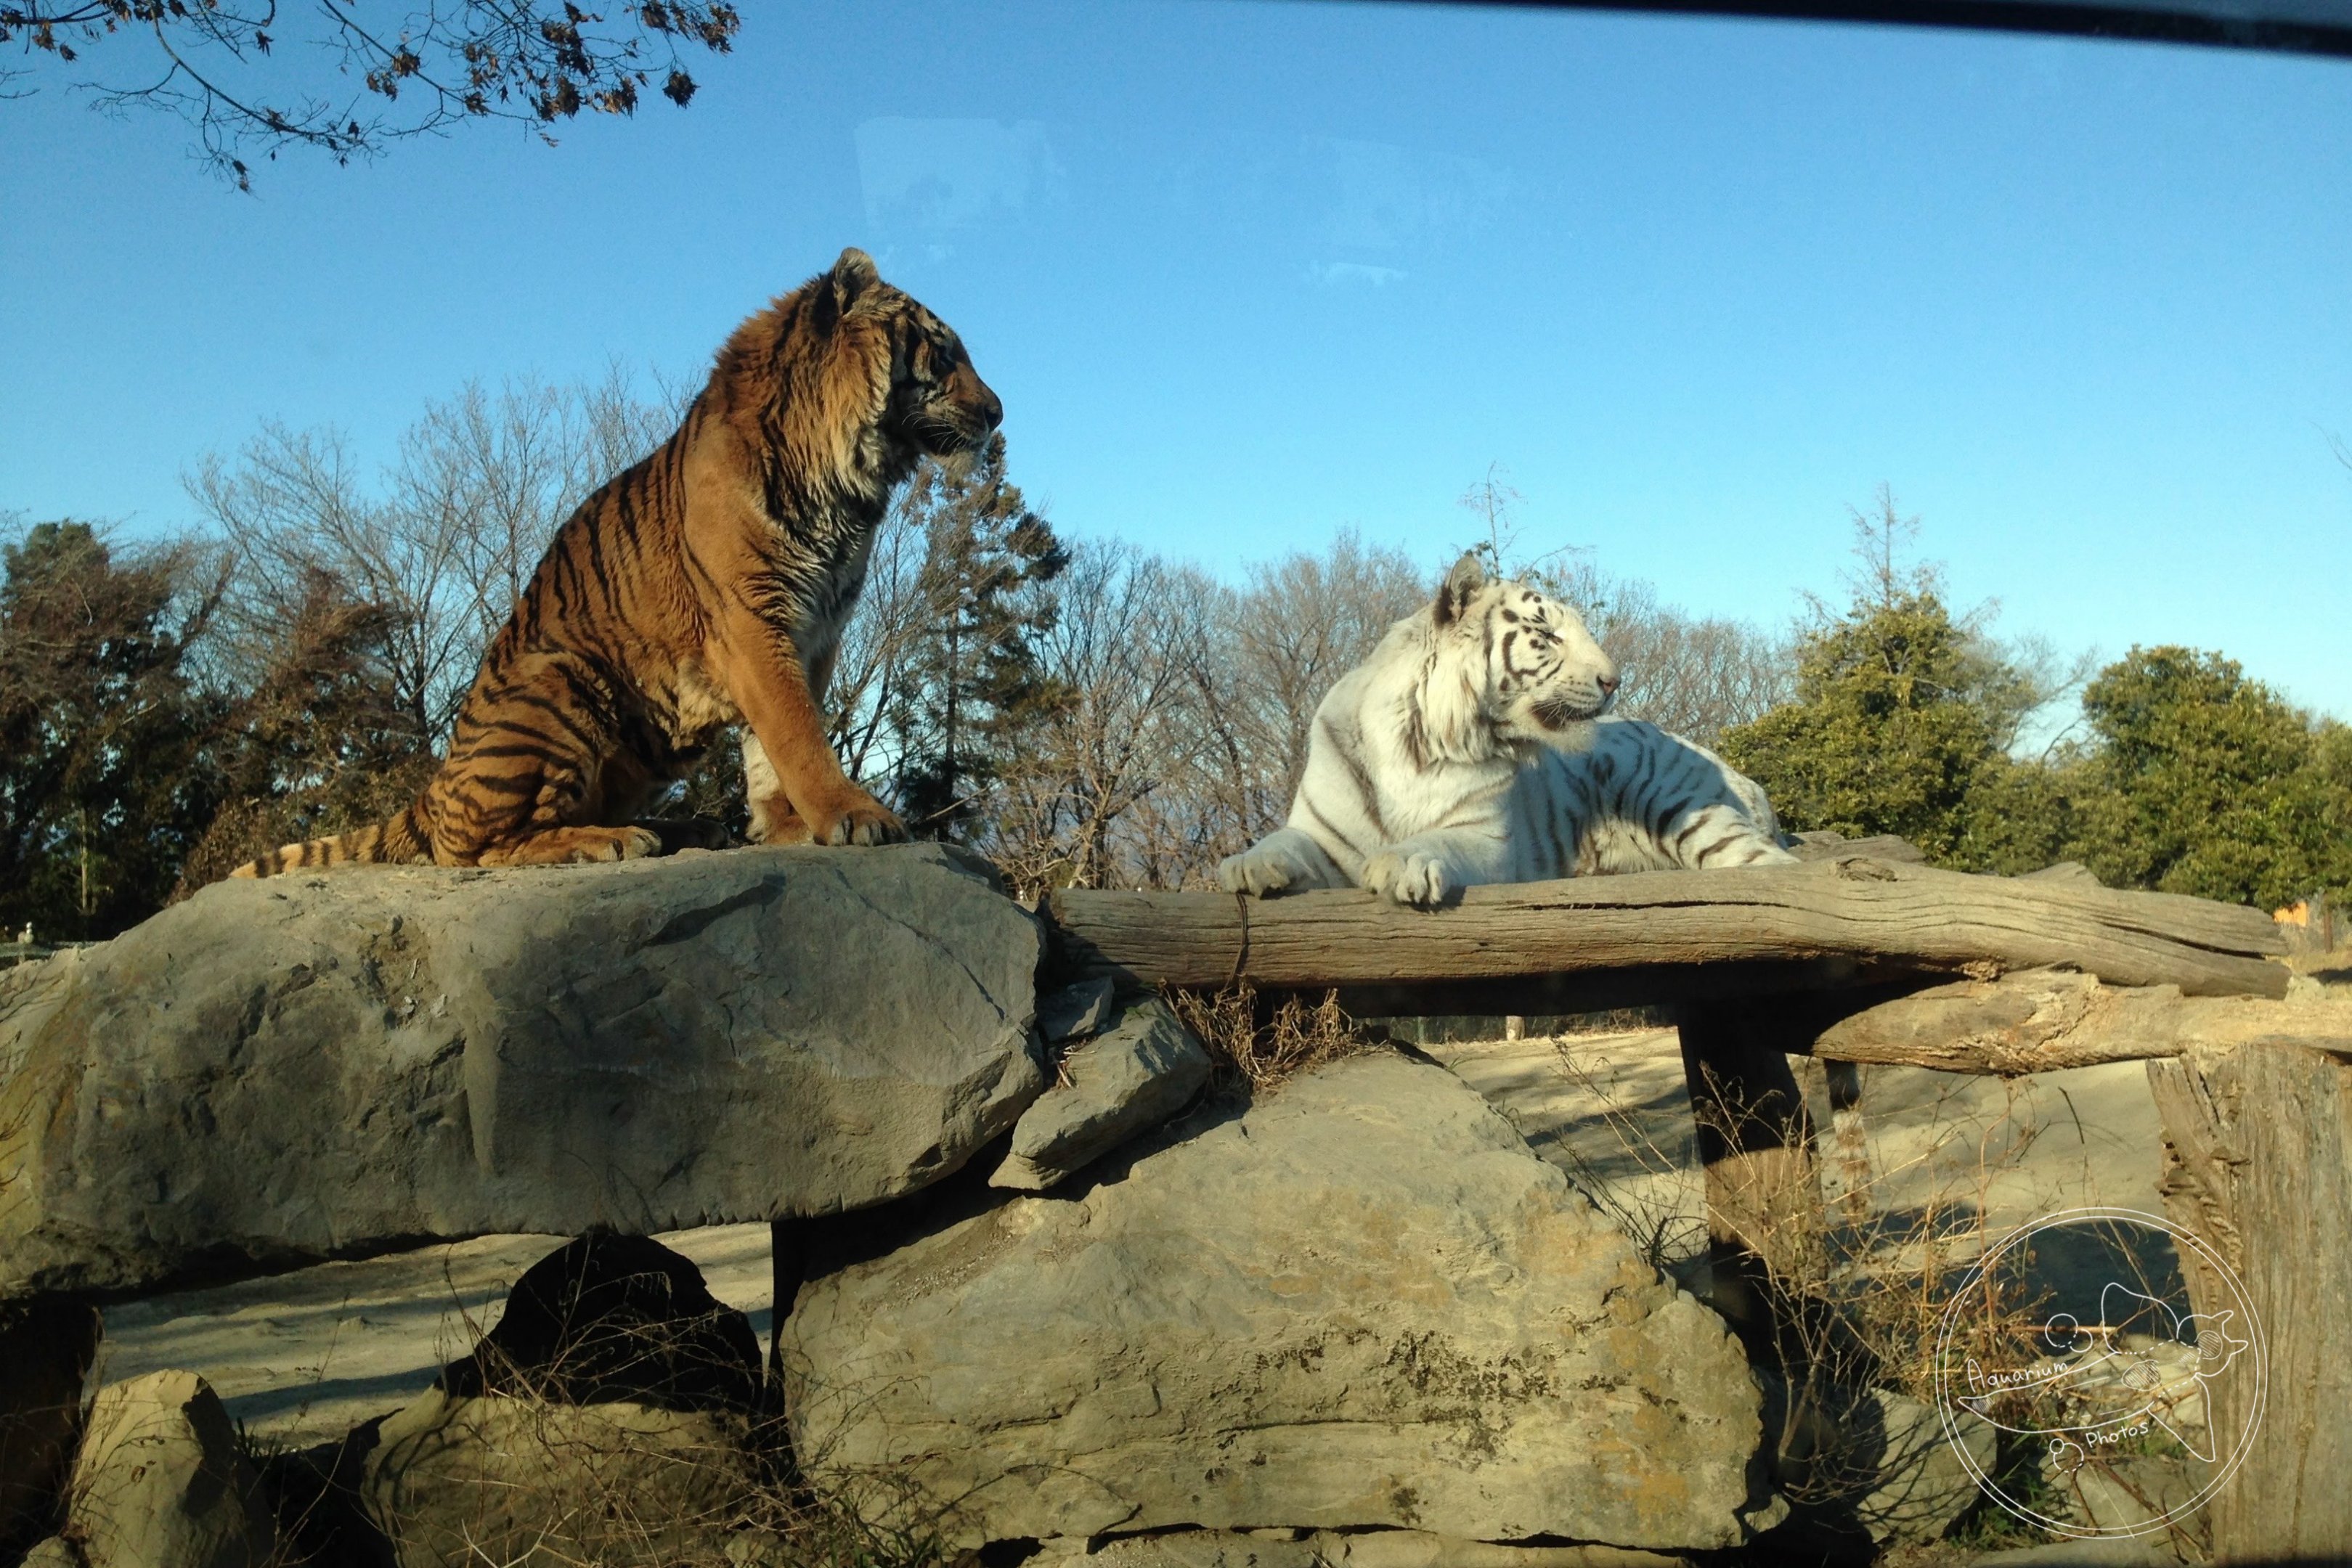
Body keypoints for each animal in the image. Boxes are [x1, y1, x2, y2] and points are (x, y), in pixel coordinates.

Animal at [232, 247, 999, 877]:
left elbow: (772, 746)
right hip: (560, 683)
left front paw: (785, 825)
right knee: (476, 849)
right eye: (943, 354)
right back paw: (610, 841)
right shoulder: (754, 620)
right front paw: (855, 815)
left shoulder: (816, 631)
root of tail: (432, 789)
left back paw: (682, 829)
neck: (848, 484)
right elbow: (797, 732)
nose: (996, 413)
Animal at [1218, 552, 1796, 908]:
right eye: (1548, 635)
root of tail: (1742, 777)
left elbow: (1434, 841)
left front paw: (1399, 866)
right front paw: (1246, 866)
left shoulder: (1486, 838)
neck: (1421, 736)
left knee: (1775, 868)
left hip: (1679, 804)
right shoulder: (1324, 835)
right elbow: (1285, 842)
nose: (1615, 679)